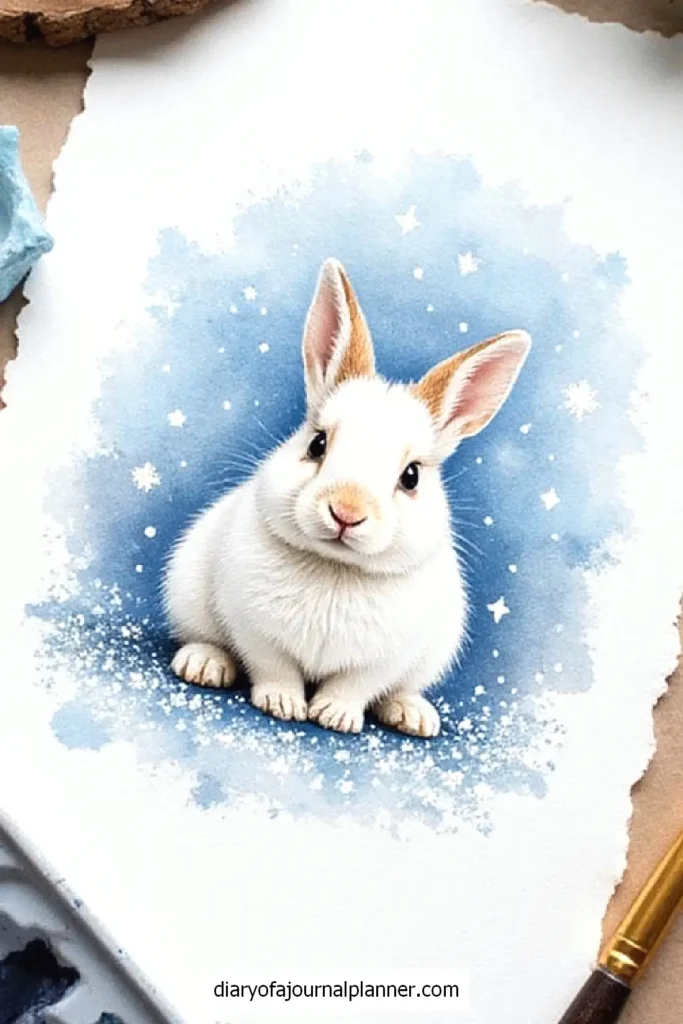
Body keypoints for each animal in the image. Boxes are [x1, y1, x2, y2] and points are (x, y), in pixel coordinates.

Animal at [164, 258, 530, 738]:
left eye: (411, 476)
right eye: (317, 444)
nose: (346, 512)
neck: (338, 567)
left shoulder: (385, 657)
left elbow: (355, 686)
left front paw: (335, 717)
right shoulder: (253, 627)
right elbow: (272, 667)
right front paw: (282, 704)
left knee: (397, 690)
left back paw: (413, 715)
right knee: (207, 640)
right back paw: (204, 664)